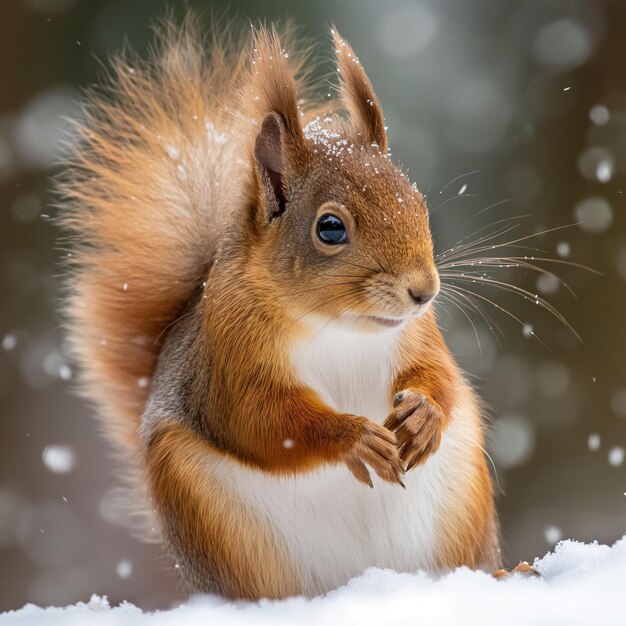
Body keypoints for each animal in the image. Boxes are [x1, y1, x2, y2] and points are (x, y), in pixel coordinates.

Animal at [58, 18, 508, 596]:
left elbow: (440, 376)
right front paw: (354, 437)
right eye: (330, 228)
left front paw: (424, 414)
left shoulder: (418, 333)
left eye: (418, 201)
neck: (337, 327)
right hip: (217, 523)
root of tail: (362, 578)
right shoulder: (227, 353)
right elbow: (262, 420)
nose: (424, 290)